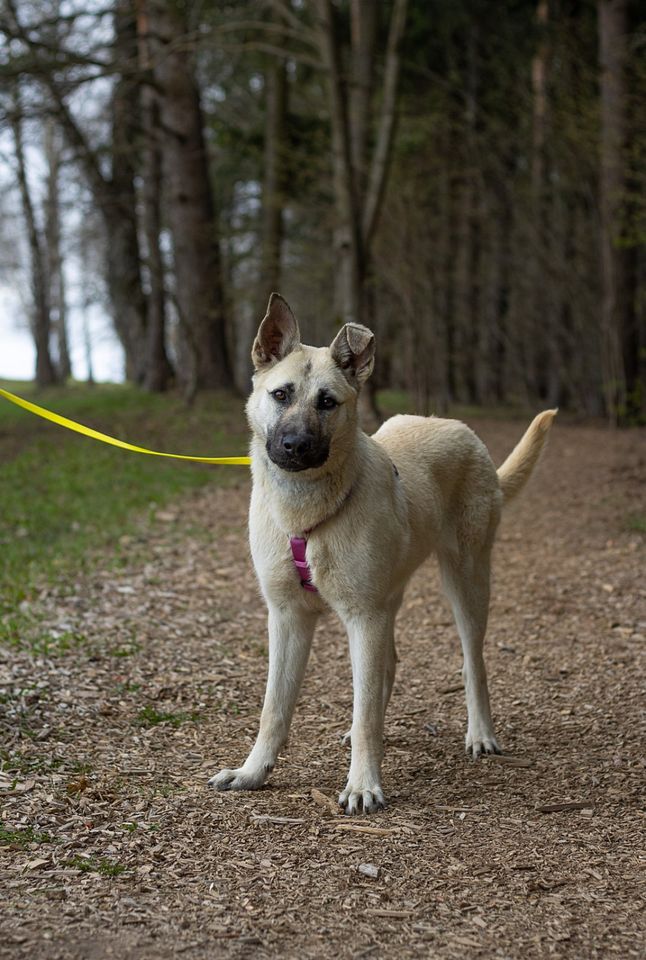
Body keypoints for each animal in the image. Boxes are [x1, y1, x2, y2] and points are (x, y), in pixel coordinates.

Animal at [210, 292, 560, 808]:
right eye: (281, 395)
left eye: (328, 402)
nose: (295, 446)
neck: (308, 514)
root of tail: (458, 428)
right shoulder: (289, 618)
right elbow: (274, 708)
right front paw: (254, 772)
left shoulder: (363, 616)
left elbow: (365, 712)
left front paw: (362, 783)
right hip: (390, 597)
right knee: (389, 666)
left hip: (466, 581)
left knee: (472, 664)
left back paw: (480, 733)